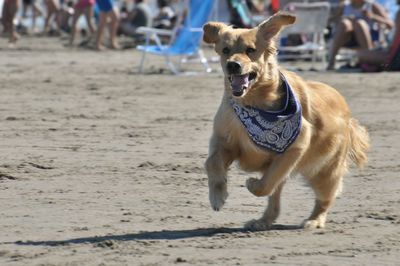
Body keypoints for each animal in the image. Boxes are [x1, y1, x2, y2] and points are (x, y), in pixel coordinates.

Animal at [203, 12, 368, 230]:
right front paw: (217, 195)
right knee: (275, 200)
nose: (233, 65)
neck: (252, 103)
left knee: (324, 198)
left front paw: (252, 184)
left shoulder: (296, 144)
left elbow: (265, 185)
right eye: (225, 50)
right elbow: (212, 162)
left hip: (324, 170)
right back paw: (262, 221)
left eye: (250, 50)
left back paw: (314, 220)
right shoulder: (226, 141)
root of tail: (347, 111)